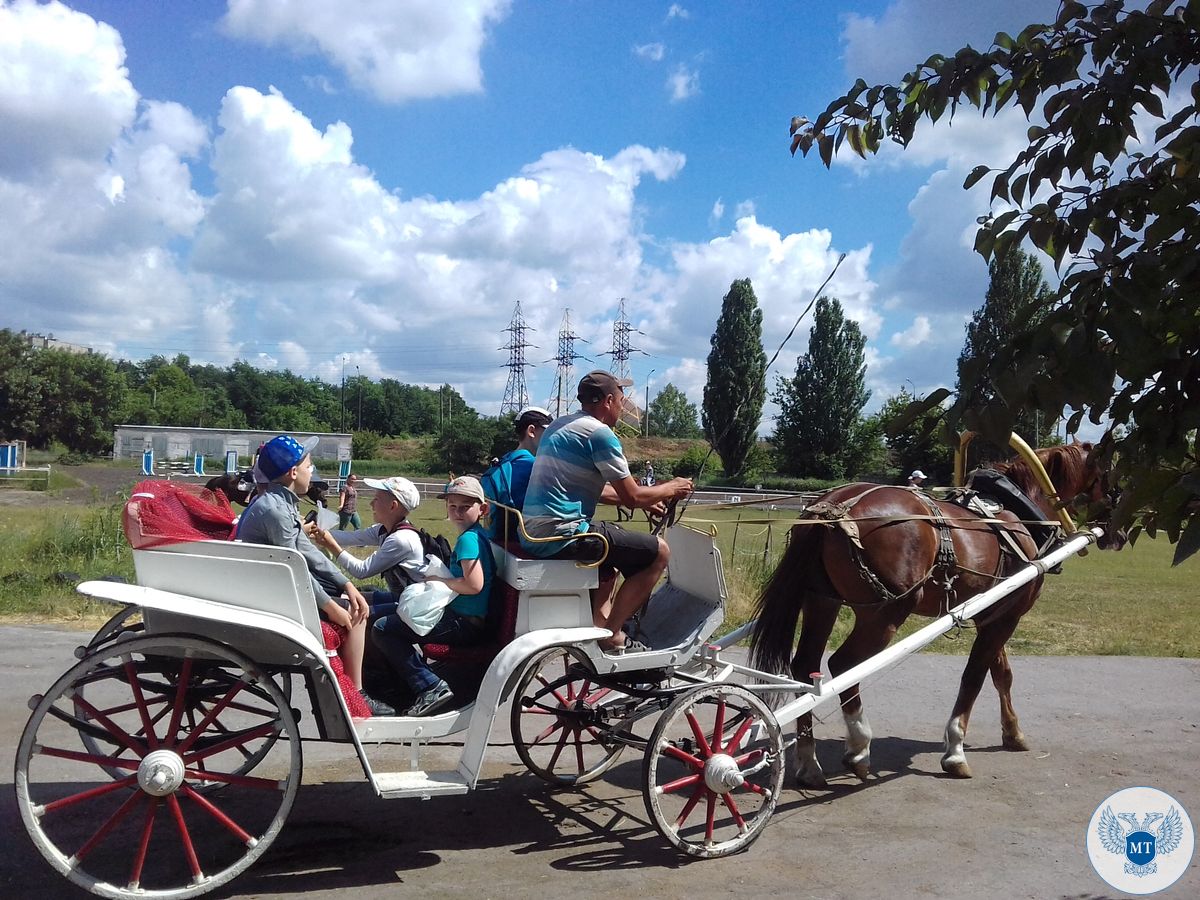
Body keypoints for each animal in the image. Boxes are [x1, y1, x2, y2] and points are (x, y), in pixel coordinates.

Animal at [748, 444, 1123, 787]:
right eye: (1109, 471)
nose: (1117, 530)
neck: (1018, 512)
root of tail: (833, 507)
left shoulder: (993, 611)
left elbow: (1001, 674)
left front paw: (1013, 733)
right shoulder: (1008, 614)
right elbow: (973, 678)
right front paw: (955, 750)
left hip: (822, 601)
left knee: (805, 667)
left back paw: (809, 763)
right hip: (884, 613)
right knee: (844, 664)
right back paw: (858, 747)